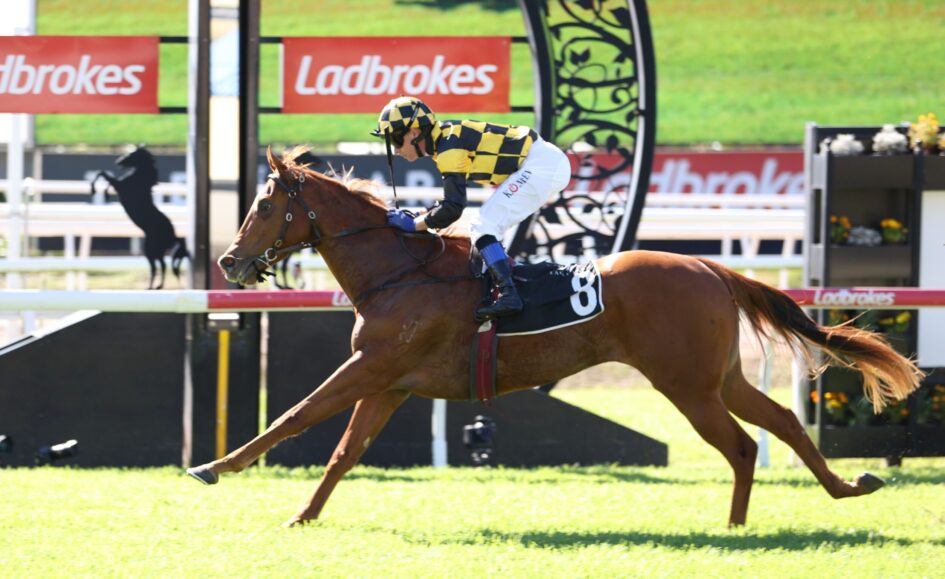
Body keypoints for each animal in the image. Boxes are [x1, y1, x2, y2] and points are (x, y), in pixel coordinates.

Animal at [91, 146, 190, 289]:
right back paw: (156, 286)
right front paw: (104, 194)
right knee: (161, 265)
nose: (117, 161)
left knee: (157, 266)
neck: (140, 178)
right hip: (155, 250)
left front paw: (96, 191)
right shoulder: (119, 184)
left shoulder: (120, 186)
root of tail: (173, 236)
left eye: (132, 154)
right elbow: (105, 176)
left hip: (151, 249)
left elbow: (103, 174)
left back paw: (153, 287)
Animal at [186, 146, 923, 528]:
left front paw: (215, 466)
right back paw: (846, 487)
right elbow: (344, 451)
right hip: (720, 377)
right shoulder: (389, 381)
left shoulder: (371, 367)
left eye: (262, 206)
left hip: (686, 385)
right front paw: (304, 514)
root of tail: (708, 265)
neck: (400, 270)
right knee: (783, 424)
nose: (229, 262)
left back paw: (734, 526)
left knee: (743, 445)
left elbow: (293, 416)